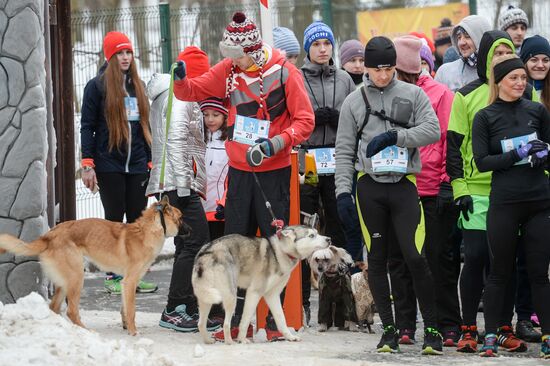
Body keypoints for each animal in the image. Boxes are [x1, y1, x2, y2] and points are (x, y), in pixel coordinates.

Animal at [0, 196, 183, 336]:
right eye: (181, 218)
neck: (147, 231)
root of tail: (50, 234)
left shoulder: (126, 283)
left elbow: (124, 308)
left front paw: (126, 326)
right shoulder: (130, 282)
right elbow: (131, 310)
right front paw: (133, 332)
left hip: (65, 282)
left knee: (54, 307)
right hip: (76, 277)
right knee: (71, 311)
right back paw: (85, 331)